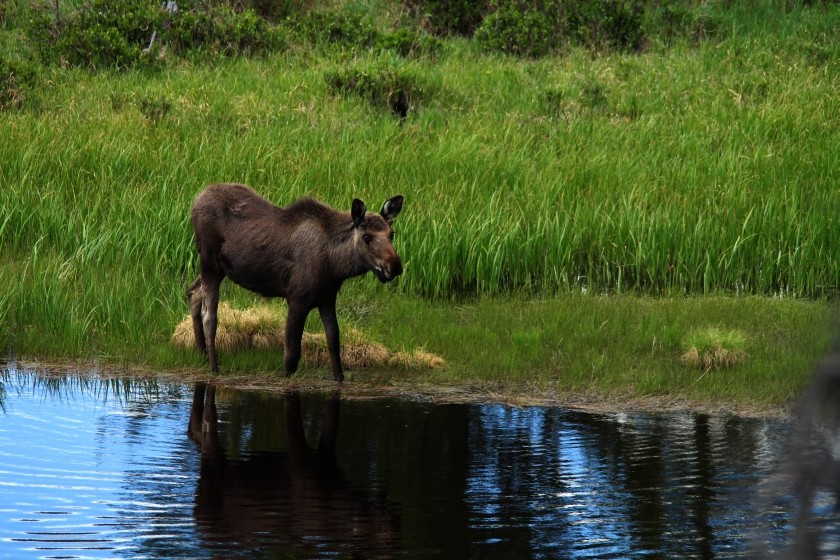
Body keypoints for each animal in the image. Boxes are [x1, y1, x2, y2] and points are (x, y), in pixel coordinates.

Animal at [188, 184, 404, 380]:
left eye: (391, 234)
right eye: (367, 237)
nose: (395, 266)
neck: (336, 265)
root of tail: (196, 200)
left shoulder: (327, 299)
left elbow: (334, 341)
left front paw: (339, 378)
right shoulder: (297, 300)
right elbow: (291, 355)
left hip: (219, 269)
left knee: (193, 293)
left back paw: (201, 353)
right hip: (209, 263)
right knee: (210, 315)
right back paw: (214, 367)